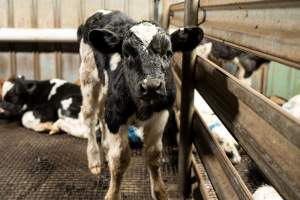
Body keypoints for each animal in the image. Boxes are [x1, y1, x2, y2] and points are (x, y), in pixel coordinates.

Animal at [78, 9, 203, 200]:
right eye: (127, 53)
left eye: (168, 52)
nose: (151, 86)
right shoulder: (116, 117)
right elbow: (120, 159)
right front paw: (113, 194)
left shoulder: (161, 114)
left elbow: (153, 154)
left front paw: (160, 193)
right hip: (88, 78)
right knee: (90, 117)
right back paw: (94, 160)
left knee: (101, 116)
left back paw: (105, 149)